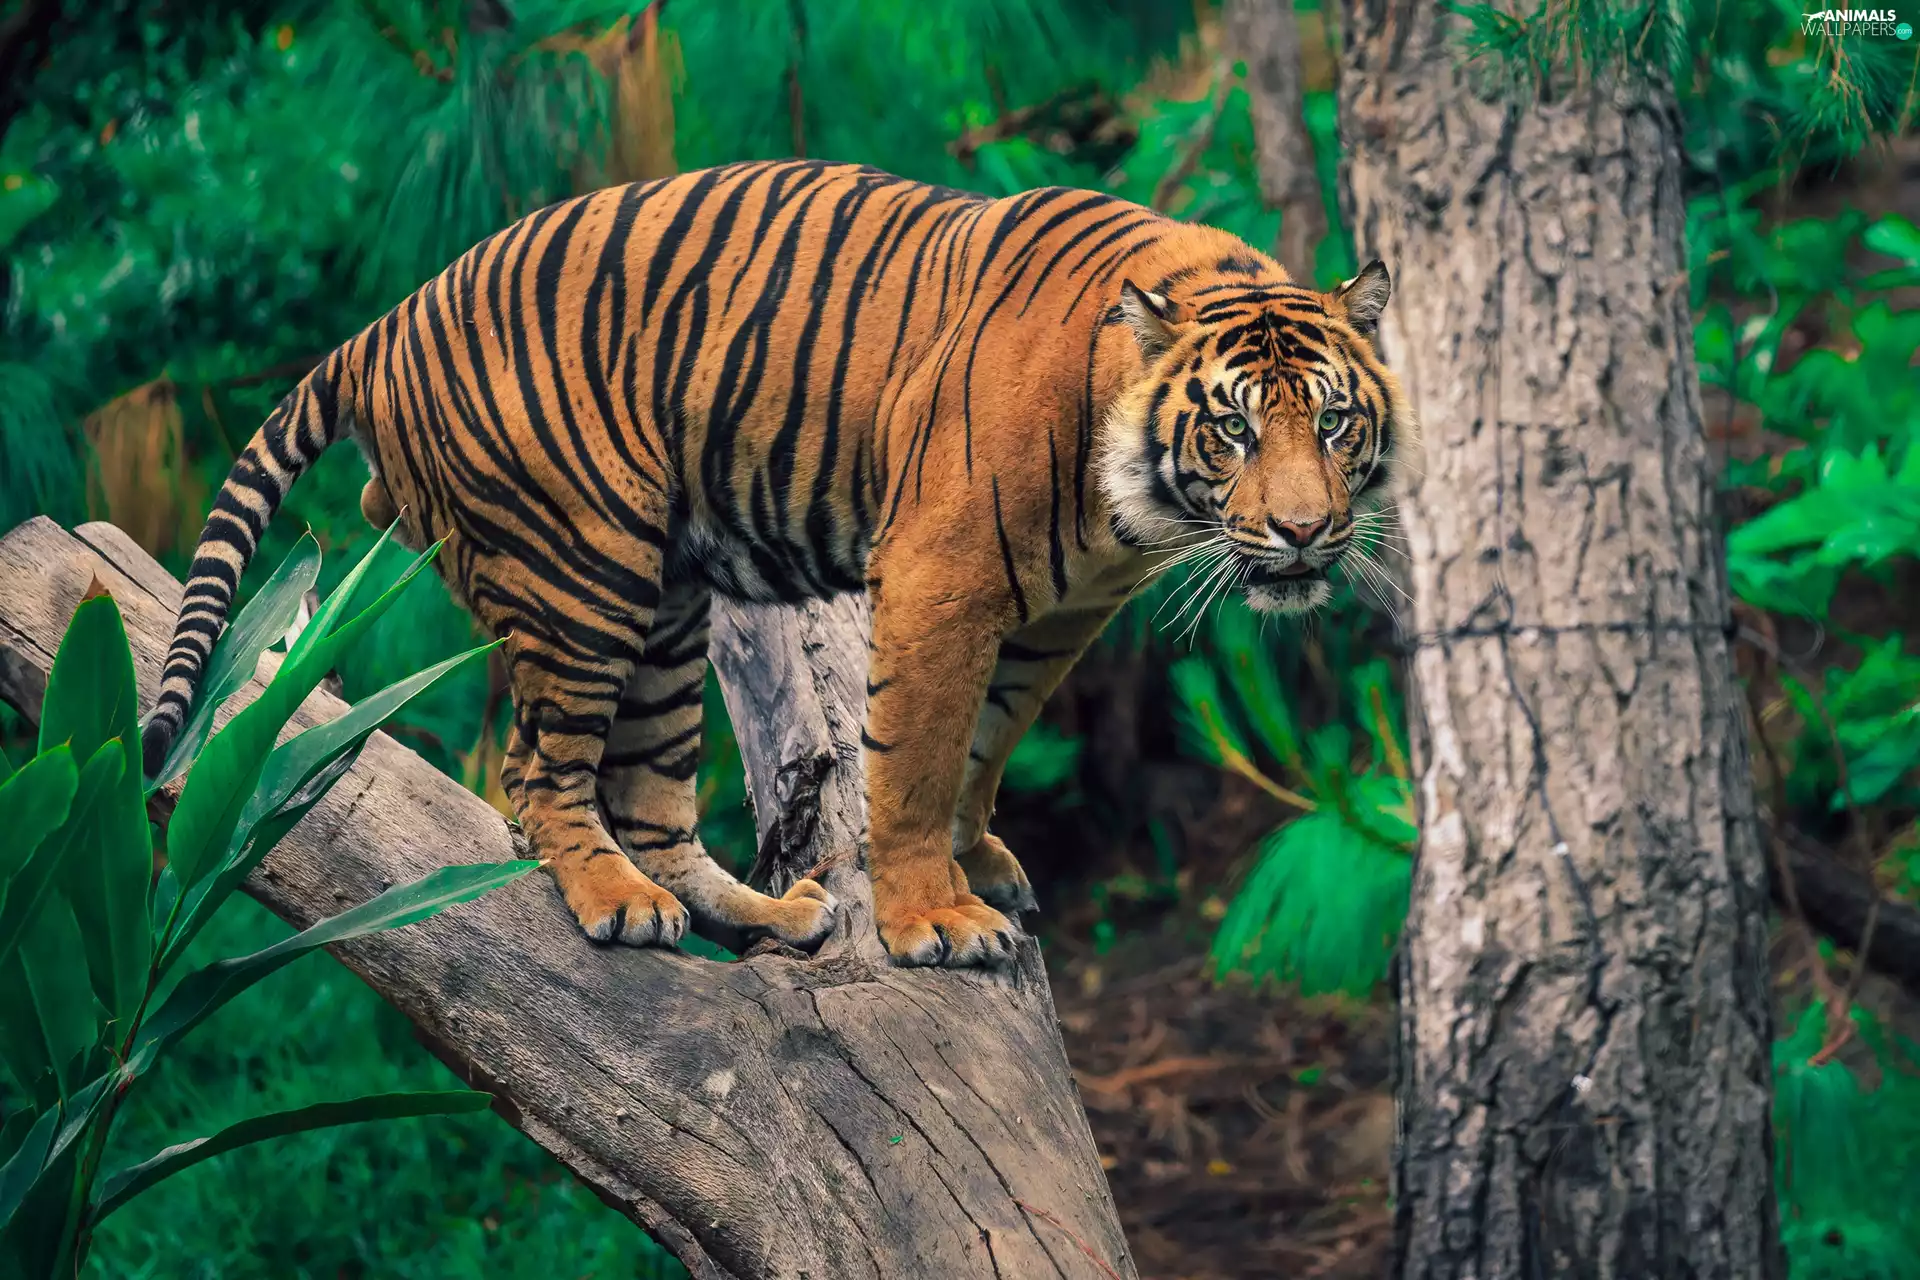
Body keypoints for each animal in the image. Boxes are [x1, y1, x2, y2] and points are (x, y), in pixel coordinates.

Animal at [141, 159, 1412, 969]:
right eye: (1233, 428)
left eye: (1334, 421)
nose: (1306, 532)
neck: (1128, 515)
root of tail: (383, 323)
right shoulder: (944, 578)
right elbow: (918, 755)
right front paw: (932, 917)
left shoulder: (1057, 618)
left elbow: (988, 740)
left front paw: (974, 859)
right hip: (585, 572)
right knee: (538, 776)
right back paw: (616, 902)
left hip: (664, 609)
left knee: (648, 799)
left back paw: (758, 911)